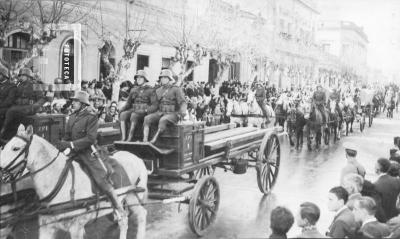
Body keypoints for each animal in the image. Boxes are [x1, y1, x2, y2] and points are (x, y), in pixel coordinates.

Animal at [0, 125, 148, 239]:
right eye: (4, 146)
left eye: (15, 148)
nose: (0, 171)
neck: (59, 182)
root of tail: (137, 158)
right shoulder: (46, 226)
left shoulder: (76, 227)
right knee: (126, 218)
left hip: (132, 195)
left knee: (136, 216)